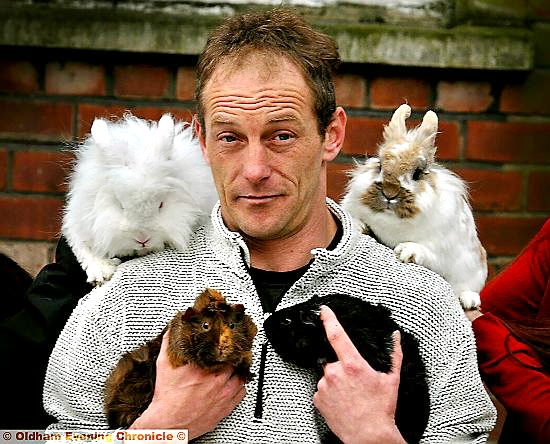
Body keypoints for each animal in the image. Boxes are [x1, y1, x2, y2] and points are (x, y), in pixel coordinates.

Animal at [63, 112, 219, 284]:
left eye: (161, 204)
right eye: (121, 206)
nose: (143, 239)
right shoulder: (78, 222)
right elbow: (84, 249)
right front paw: (102, 273)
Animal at [342, 104, 490, 310]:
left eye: (418, 173)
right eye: (379, 165)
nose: (389, 193)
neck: (392, 221)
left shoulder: (441, 250)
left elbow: (428, 253)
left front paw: (406, 251)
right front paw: (358, 225)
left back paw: (468, 299)